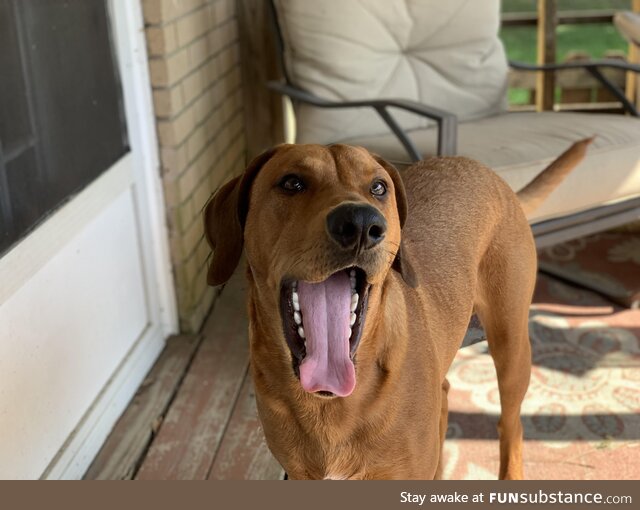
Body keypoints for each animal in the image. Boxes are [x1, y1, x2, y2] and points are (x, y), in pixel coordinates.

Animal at [204, 138, 592, 478]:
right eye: (292, 182)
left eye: (378, 187)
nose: (361, 223)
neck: (329, 405)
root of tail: (485, 171)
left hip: (511, 346)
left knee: (511, 426)